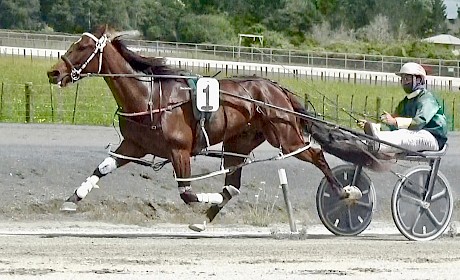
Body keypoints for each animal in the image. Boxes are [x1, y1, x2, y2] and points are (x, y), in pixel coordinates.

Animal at [46, 25, 380, 225]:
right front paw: (71, 200)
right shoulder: (134, 145)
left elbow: (187, 194)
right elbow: (102, 168)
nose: (53, 72)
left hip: (286, 137)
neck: (149, 96)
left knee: (318, 155)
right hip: (238, 144)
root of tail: (276, 87)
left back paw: (345, 192)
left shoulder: (179, 151)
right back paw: (204, 221)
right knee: (233, 184)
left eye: (81, 47)